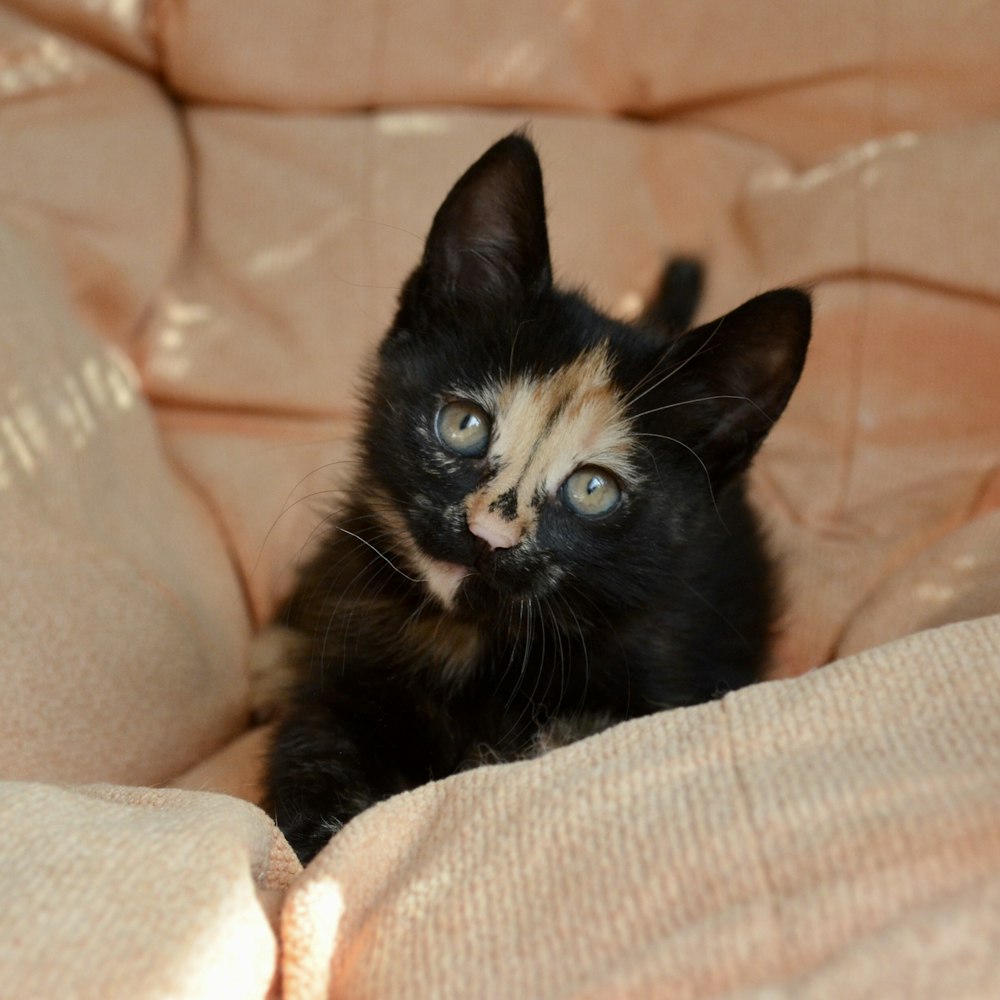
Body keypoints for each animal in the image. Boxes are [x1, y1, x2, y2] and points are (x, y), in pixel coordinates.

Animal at [262, 135, 808, 868]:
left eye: (592, 490)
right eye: (463, 424)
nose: (486, 537)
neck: (476, 643)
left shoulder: (669, 675)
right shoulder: (343, 658)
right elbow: (313, 748)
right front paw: (315, 848)